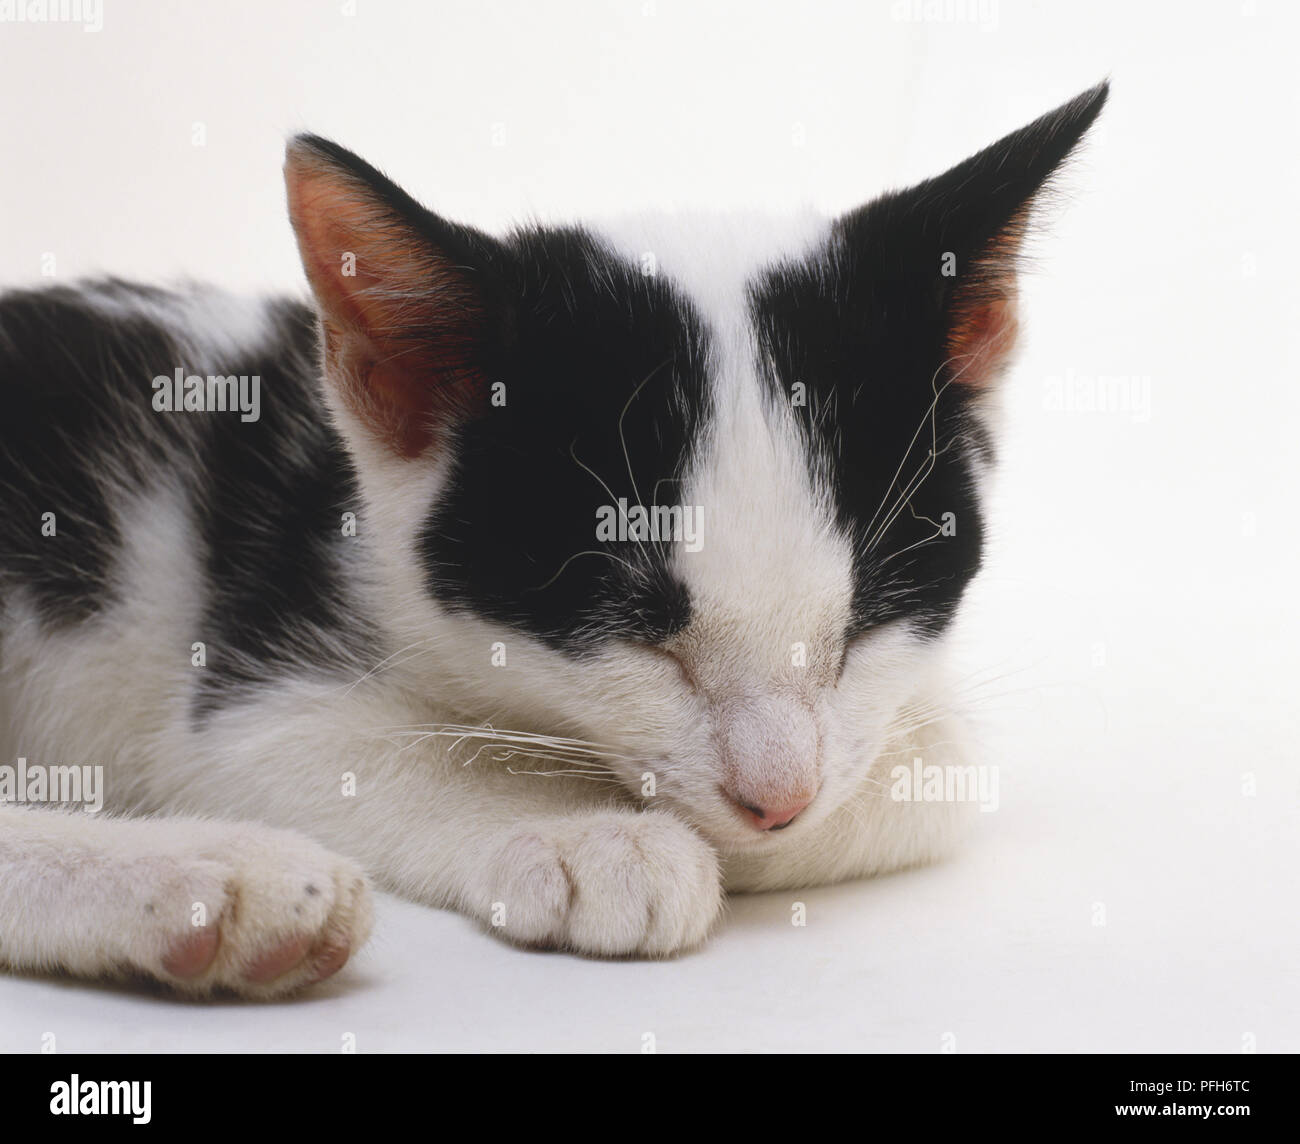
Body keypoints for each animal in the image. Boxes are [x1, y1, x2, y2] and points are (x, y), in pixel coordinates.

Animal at [0, 80, 1107, 998]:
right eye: (636, 625)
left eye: (868, 619)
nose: (776, 798)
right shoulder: (250, 668)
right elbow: (331, 747)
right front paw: (587, 834)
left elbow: (933, 765)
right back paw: (217, 880)